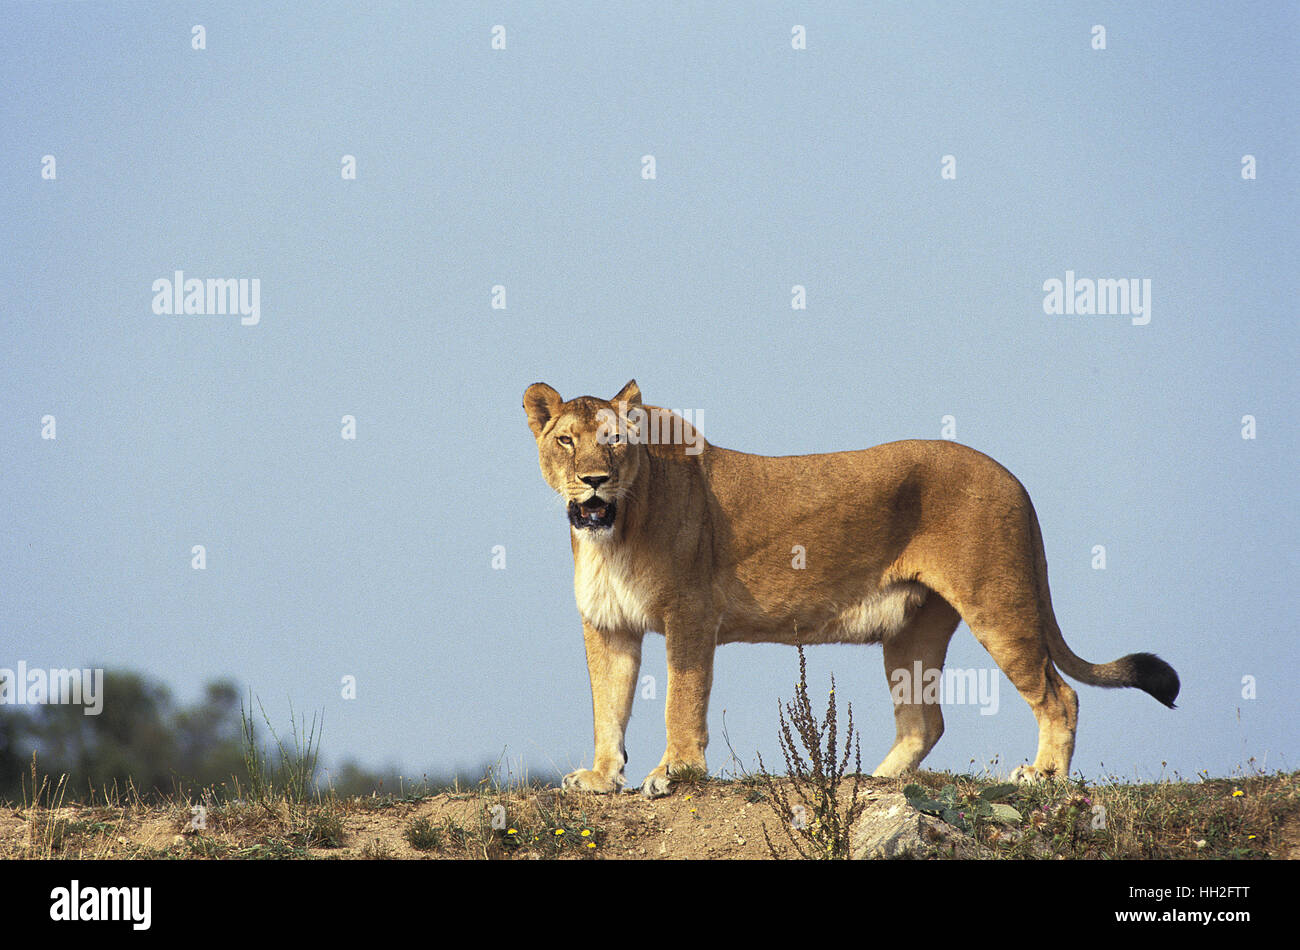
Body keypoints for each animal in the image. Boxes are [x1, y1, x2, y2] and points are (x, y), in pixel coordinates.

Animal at [524, 379, 1179, 797]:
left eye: (613, 440)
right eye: (566, 440)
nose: (593, 480)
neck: (614, 531)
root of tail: (1012, 477)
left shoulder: (690, 614)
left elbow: (681, 702)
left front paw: (676, 772)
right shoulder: (608, 625)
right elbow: (607, 706)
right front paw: (601, 777)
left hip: (999, 603)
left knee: (1059, 695)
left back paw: (1041, 777)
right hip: (914, 630)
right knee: (924, 721)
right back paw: (875, 780)